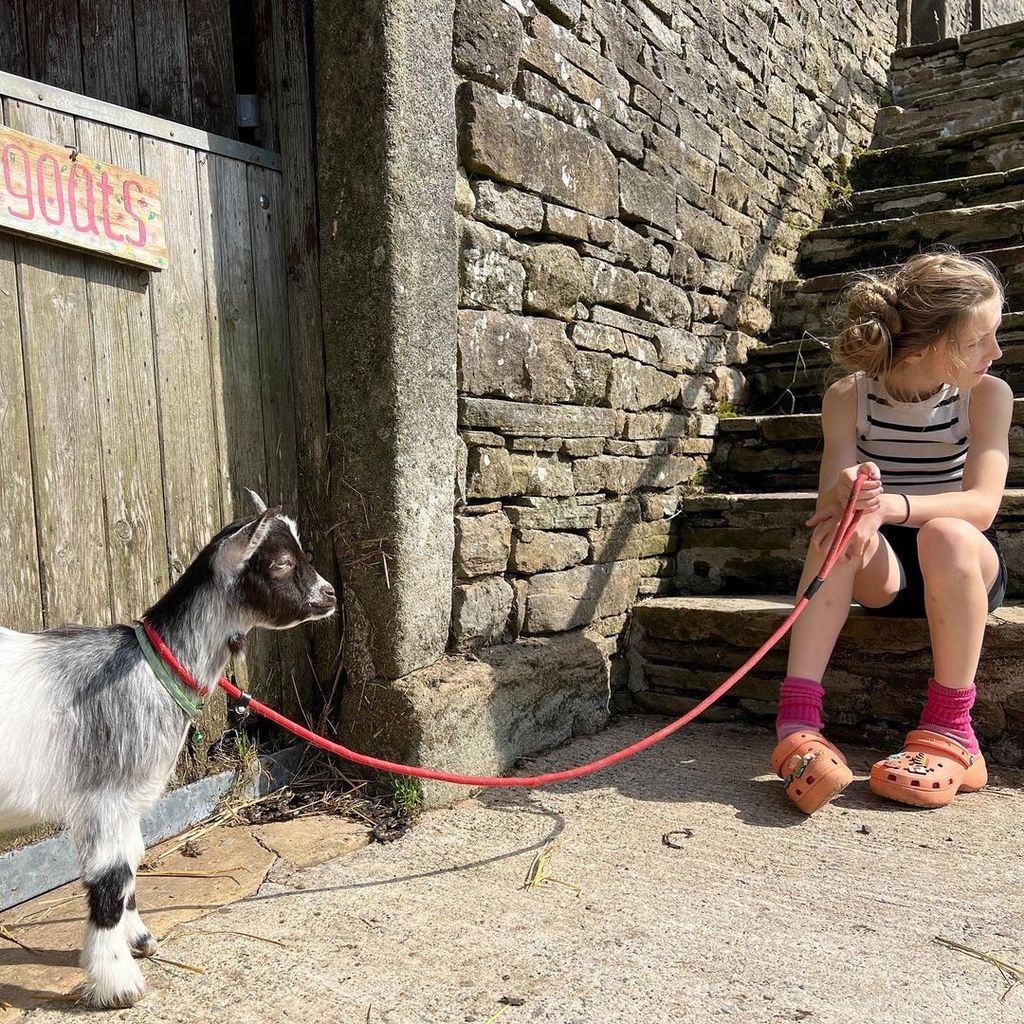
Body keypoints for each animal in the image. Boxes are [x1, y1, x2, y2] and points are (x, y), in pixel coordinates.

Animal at [0, 495, 337, 1007]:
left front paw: (138, 939)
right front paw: (118, 983)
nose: (330, 595)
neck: (150, 668)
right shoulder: (105, 796)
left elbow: (132, 863)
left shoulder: (128, 802)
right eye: (280, 562)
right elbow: (111, 878)